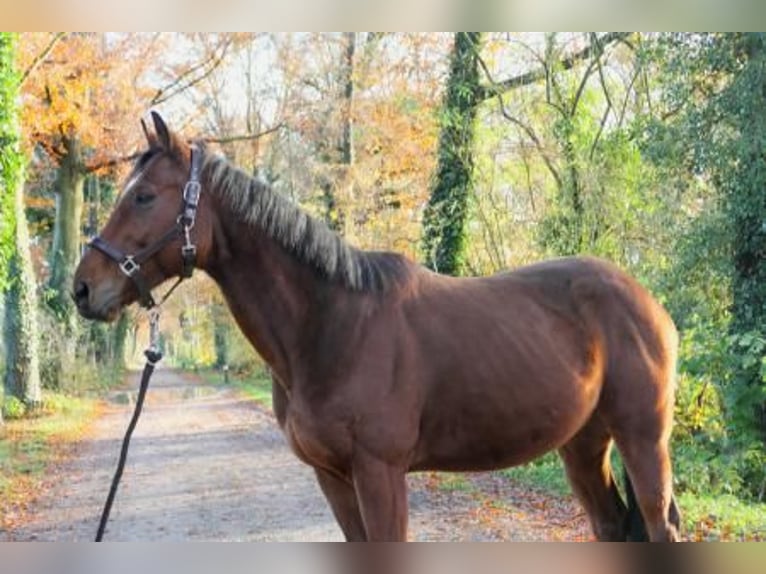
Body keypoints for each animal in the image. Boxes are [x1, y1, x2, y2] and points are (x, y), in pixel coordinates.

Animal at [73, 115, 684, 544]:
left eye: (144, 196)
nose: (83, 289)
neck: (330, 326)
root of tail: (649, 304)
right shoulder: (333, 478)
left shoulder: (380, 473)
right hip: (583, 444)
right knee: (611, 527)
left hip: (642, 438)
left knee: (659, 526)